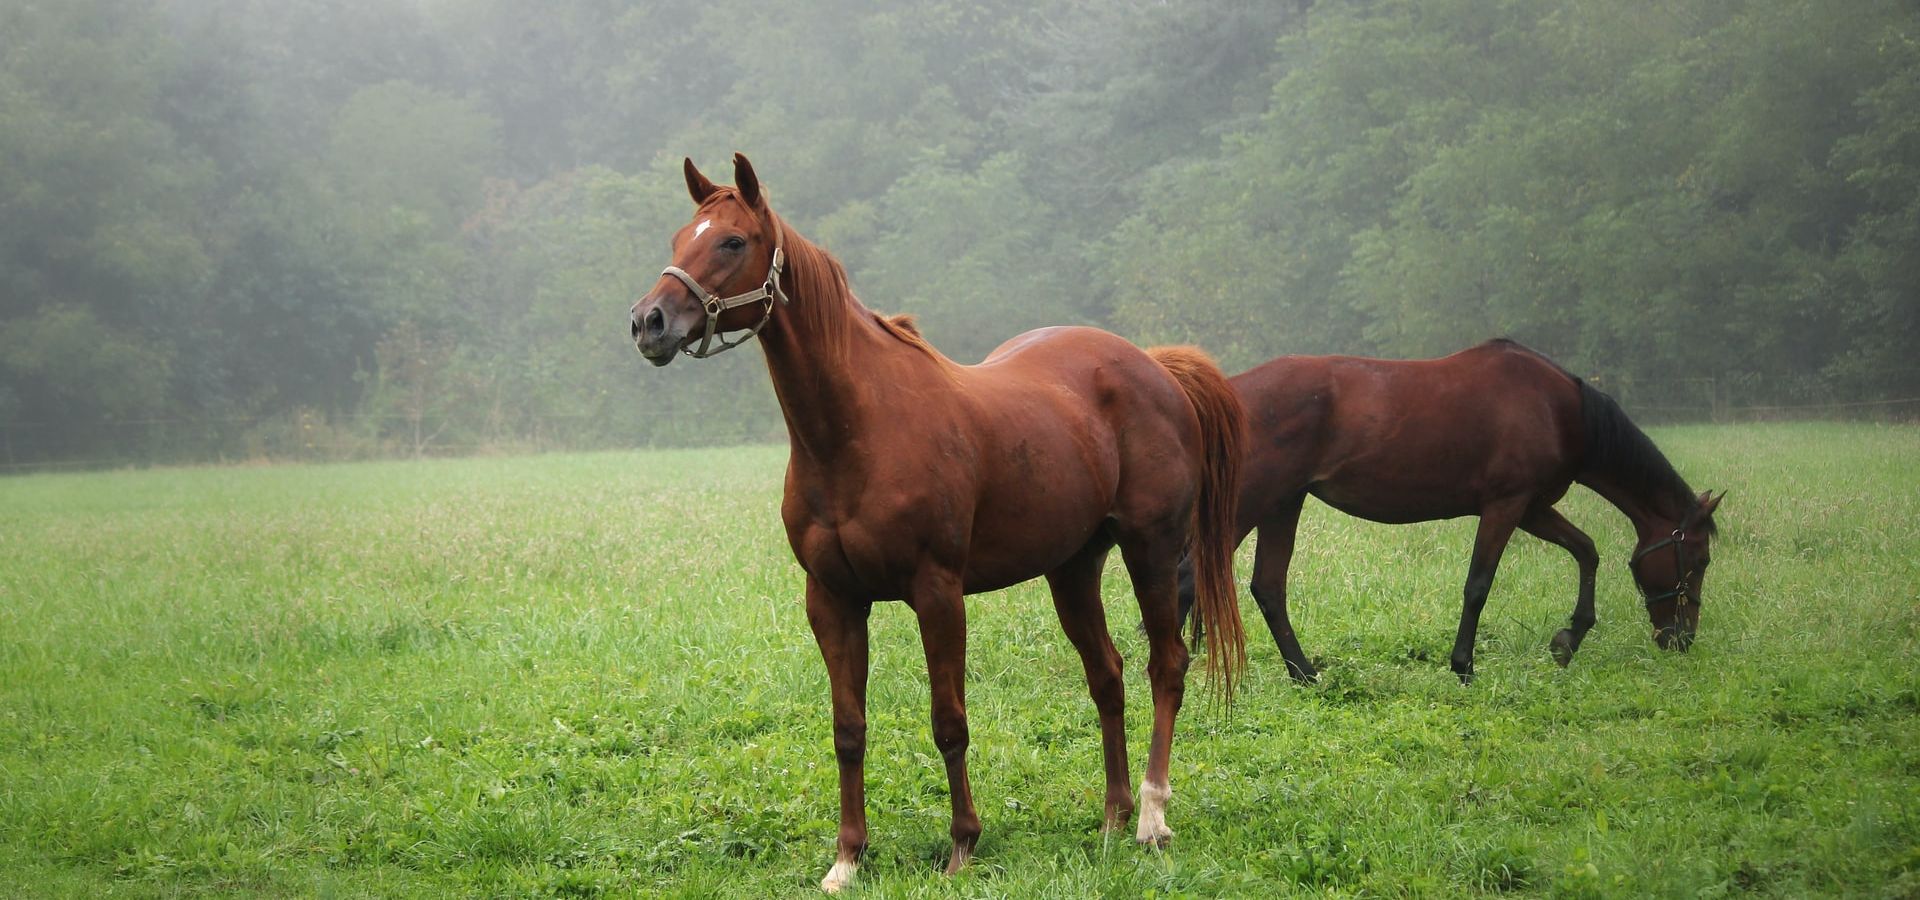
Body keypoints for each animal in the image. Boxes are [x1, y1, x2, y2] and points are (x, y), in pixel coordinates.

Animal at [629, 154, 1248, 893]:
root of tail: (1154, 365)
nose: (648, 322)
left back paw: (1153, 817)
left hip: (1150, 547)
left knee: (1167, 665)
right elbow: (848, 728)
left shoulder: (938, 593)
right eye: (678, 238)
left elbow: (949, 722)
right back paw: (1113, 817)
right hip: (1073, 568)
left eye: (731, 241)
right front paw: (847, 859)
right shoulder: (833, 601)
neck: (856, 431)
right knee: (1108, 675)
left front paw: (962, 845)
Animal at [1177, 339, 1723, 684]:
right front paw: (1464, 665)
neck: (1557, 409)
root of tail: (1227, 393)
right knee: (1192, 576)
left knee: (1267, 587)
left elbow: (1587, 552)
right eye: (1699, 560)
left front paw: (1568, 639)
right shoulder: (1506, 506)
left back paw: (1305, 673)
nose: (1682, 638)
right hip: (1250, 503)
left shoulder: (1533, 508)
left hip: (1282, 504)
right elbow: (1478, 585)